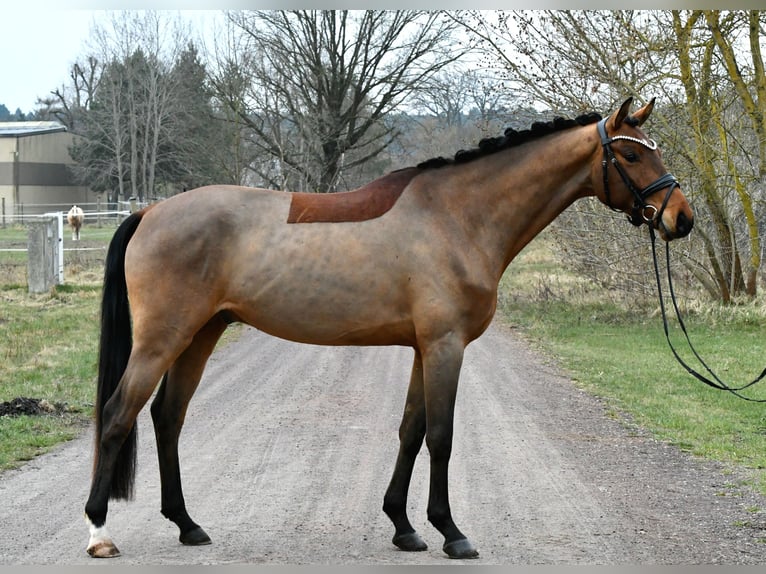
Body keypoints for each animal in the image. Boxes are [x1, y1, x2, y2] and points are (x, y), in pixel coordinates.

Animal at [84, 97, 694, 559]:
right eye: (631, 153)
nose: (681, 218)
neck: (458, 217)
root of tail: (150, 211)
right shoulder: (446, 346)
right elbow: (442, 436)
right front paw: (452, 532)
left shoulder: (425, 348)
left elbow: (411, 430)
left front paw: (403, 527)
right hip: (163, 338)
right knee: (118, 415)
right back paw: (99, 532)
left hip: (201, 334)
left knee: (167, 418)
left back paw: (187, 525)